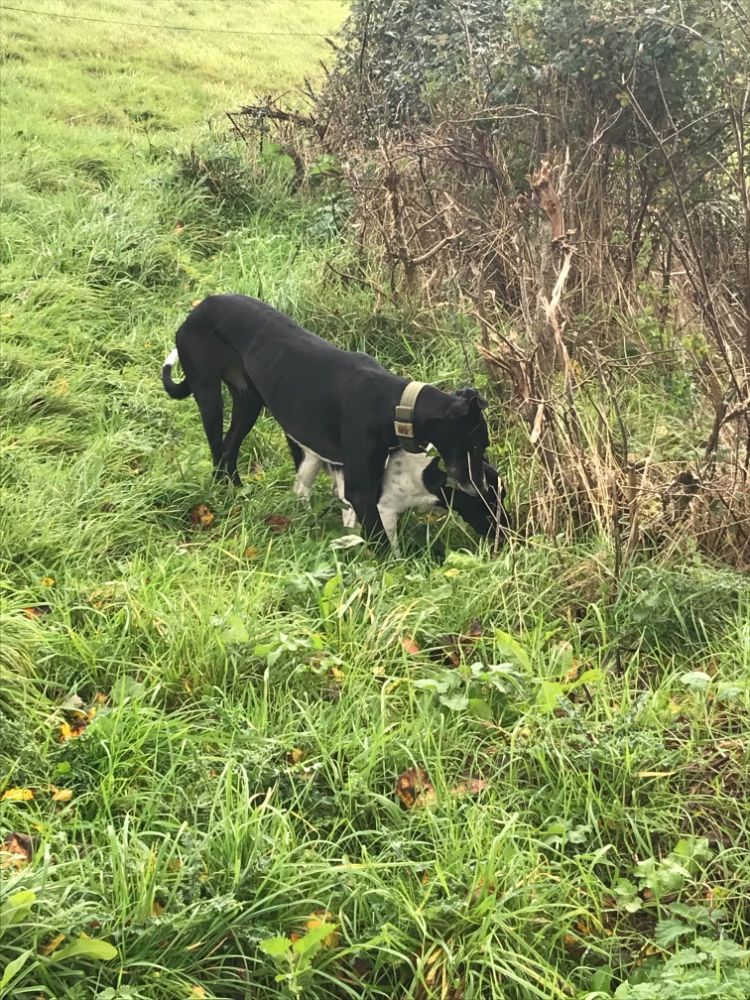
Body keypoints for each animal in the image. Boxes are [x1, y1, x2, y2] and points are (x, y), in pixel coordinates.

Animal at [162, 294, 493, 548]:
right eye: (478, 445)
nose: (480, 488)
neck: (395, 404)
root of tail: (197, 309)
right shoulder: (360, 489)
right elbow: (380, 542)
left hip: (248, 401)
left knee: (228, 451)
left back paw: (240, 495)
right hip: (209, 395)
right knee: (218, 446)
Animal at [288, 439, 507, 554]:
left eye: (503, 495)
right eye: (487, 504)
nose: (509, 531)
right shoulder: (384, 511)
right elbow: (391, 546)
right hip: (309, 460)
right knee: (301, 490)